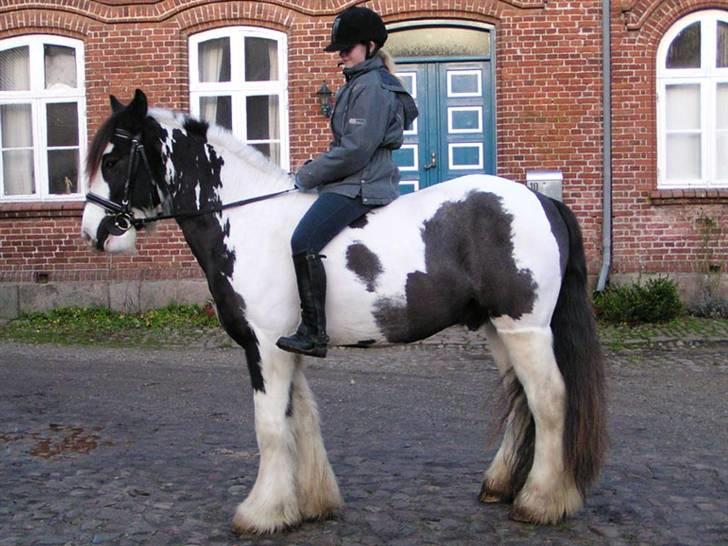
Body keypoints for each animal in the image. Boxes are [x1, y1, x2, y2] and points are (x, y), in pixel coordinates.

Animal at [81, 89, 608, 532]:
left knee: (549, 401)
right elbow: (301, 419)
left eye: (113, 158)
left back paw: (541, 502)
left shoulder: (264, 348)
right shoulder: (285, 347)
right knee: (521, 401)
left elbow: (270, 426)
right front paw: (308, 504)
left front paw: (261, 513)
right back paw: (501, 486)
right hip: (497, 329)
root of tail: (540, 200)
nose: (95, 232)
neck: (249, 220)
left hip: (526, 328)